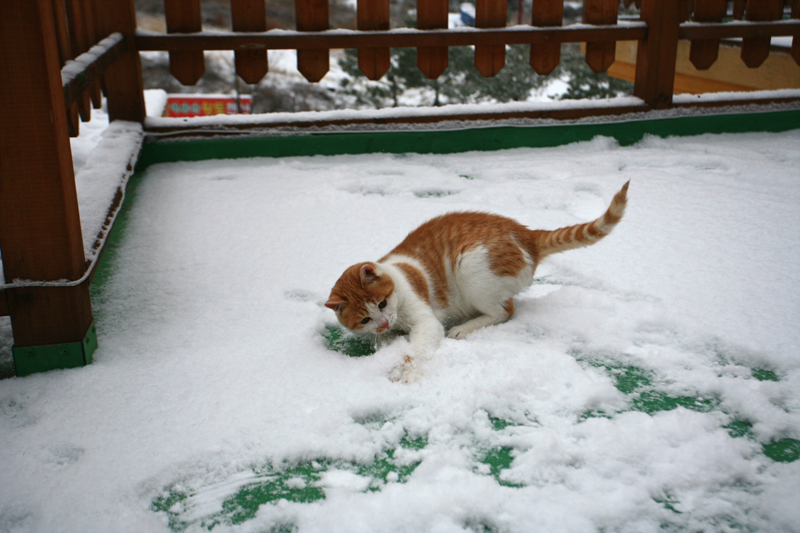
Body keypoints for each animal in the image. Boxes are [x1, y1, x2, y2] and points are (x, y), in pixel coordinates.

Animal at [326, 181, 632, 380]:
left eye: (382, 302)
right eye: (365, 319)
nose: (383, 322)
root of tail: (528, 234)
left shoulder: (426, 322)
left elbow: (417, 349)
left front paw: (406, 371)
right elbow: (386, 342)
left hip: (471, 267)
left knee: (504, 311)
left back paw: (464, 328)